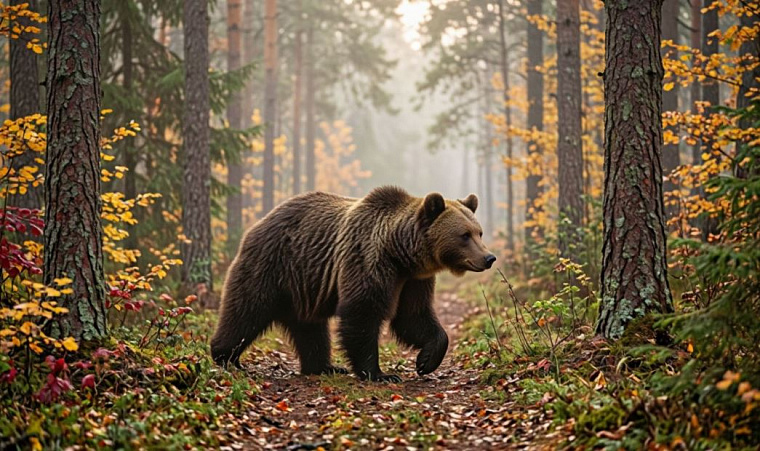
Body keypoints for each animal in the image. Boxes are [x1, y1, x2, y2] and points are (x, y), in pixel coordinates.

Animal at [210, 186, 496, 382]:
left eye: (479, 232)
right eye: (464, 235)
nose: (489, 257)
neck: (401, 254)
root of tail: (257, 225)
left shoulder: (414, 280)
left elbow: (413, 316)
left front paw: (425, 361)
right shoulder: (368, 259)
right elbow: (362, 312)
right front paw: (380, 373)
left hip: (304, 287)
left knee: (310, 328)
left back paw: (325, 366)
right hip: (271, 267)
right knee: (246, 311)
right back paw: (225, 357)